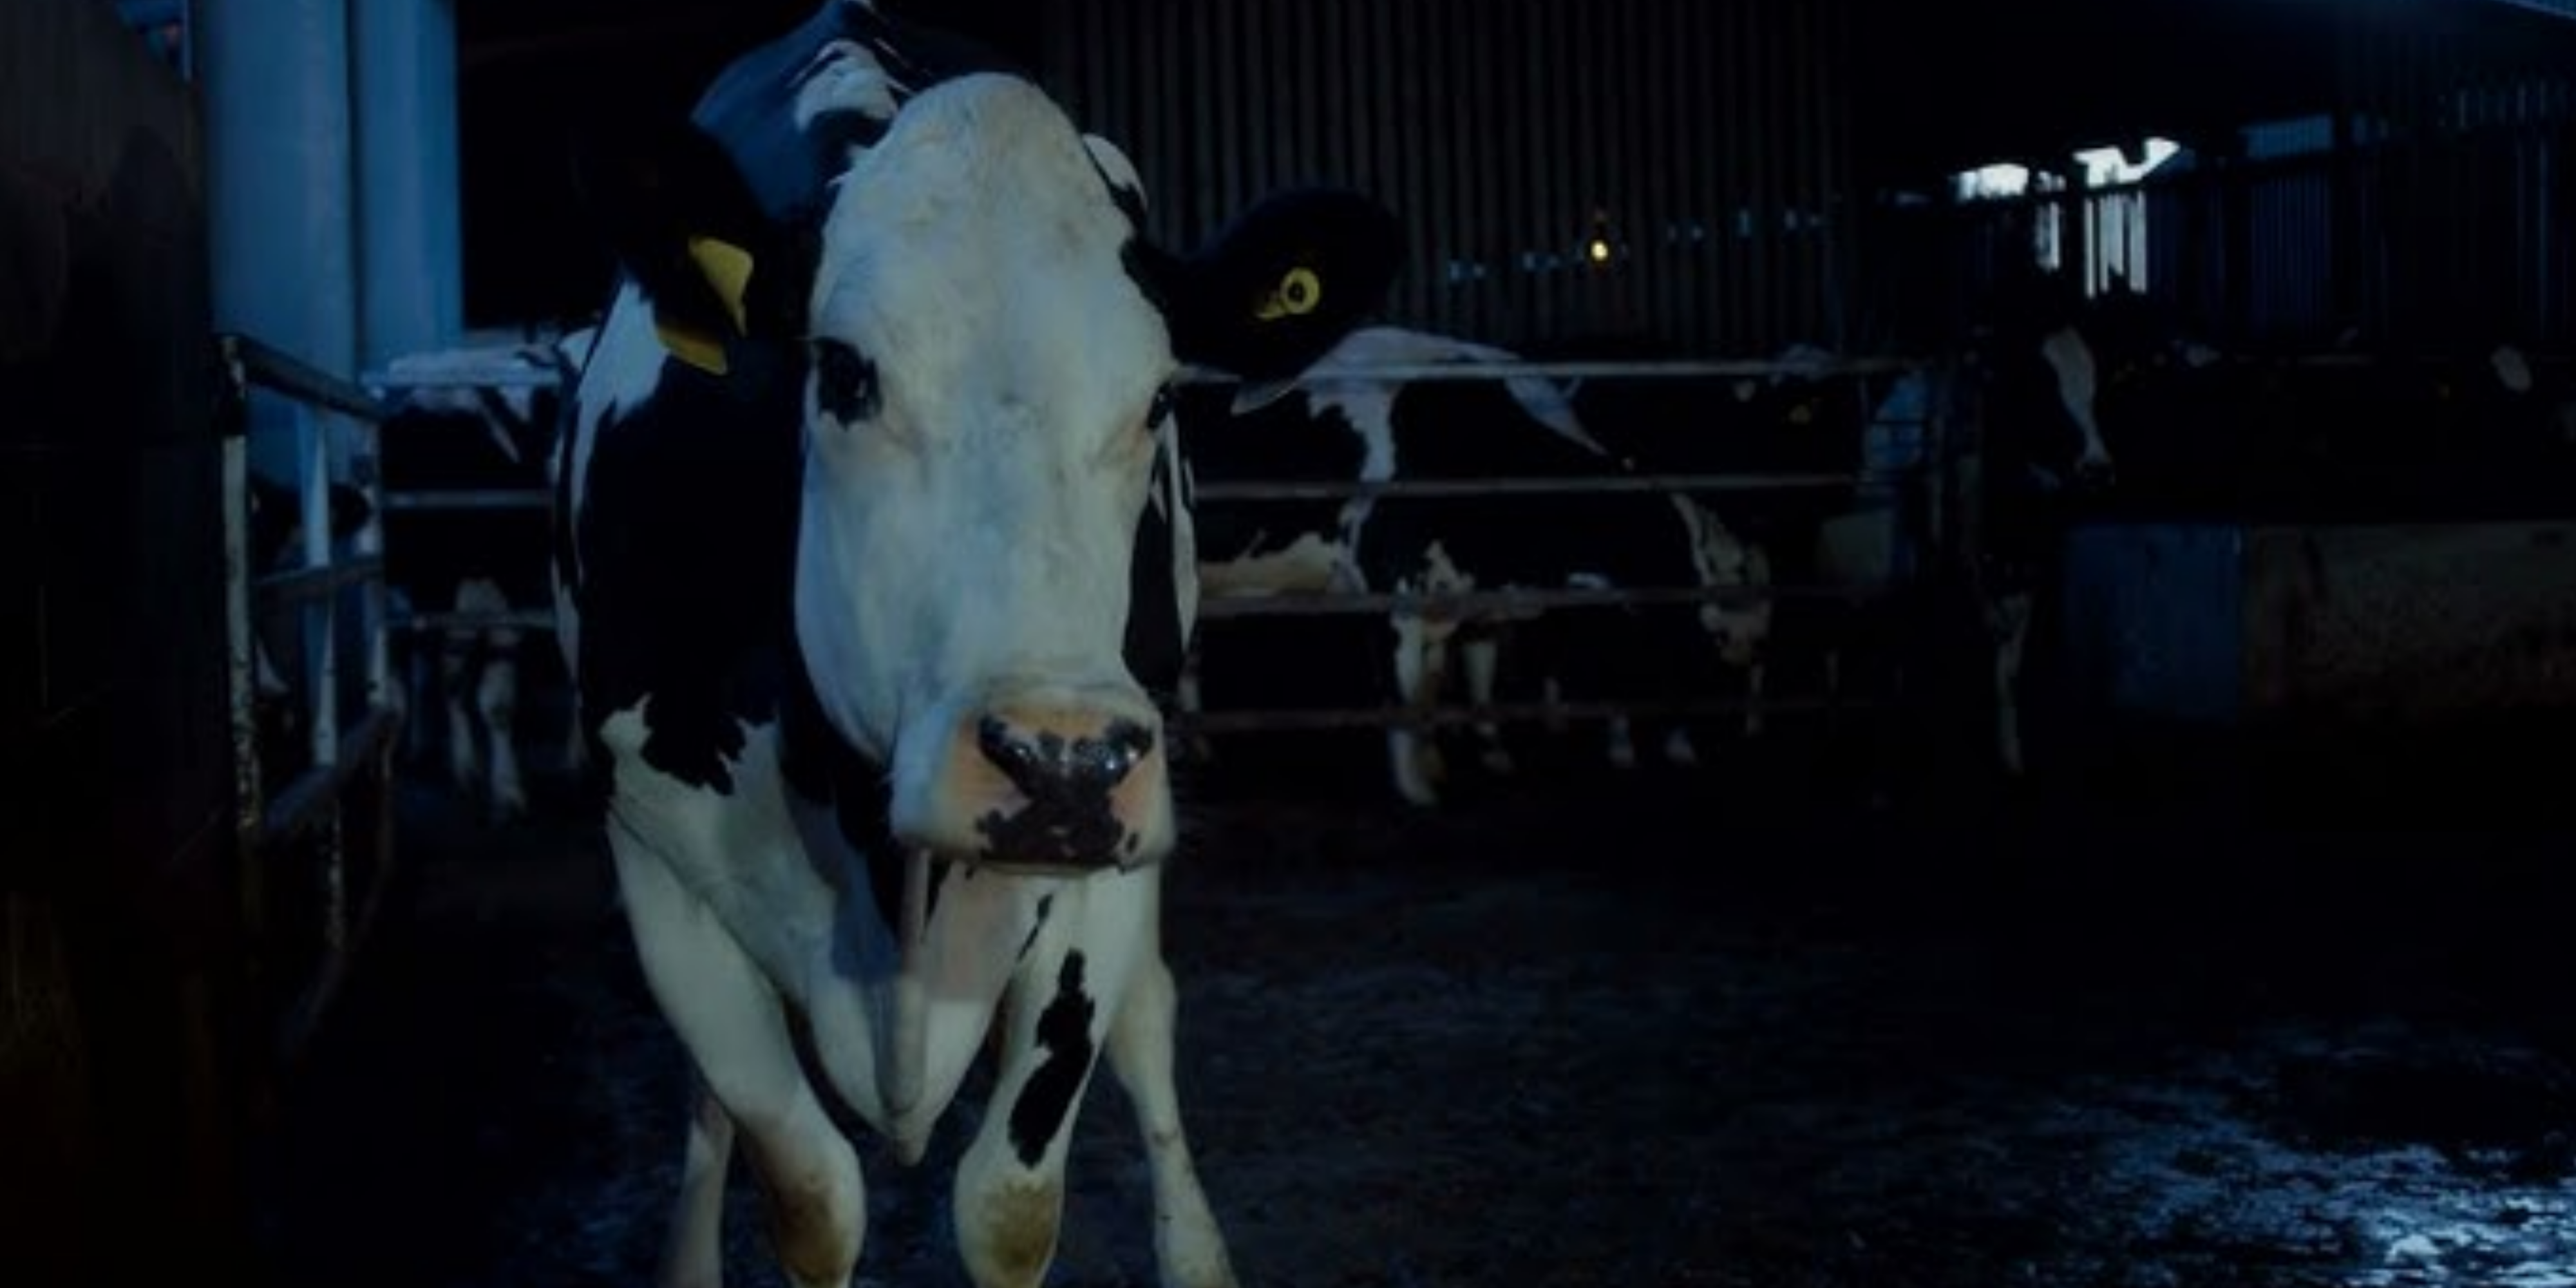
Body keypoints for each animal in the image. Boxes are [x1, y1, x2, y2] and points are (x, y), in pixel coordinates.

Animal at [548, 6, 1402, 1287]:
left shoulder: (1098, 877)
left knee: (1151, 1020)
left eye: (1158, 399)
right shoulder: (658, 859)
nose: (1061, 761)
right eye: (844, 372)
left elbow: (1009, 1200)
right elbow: (807, 1186)